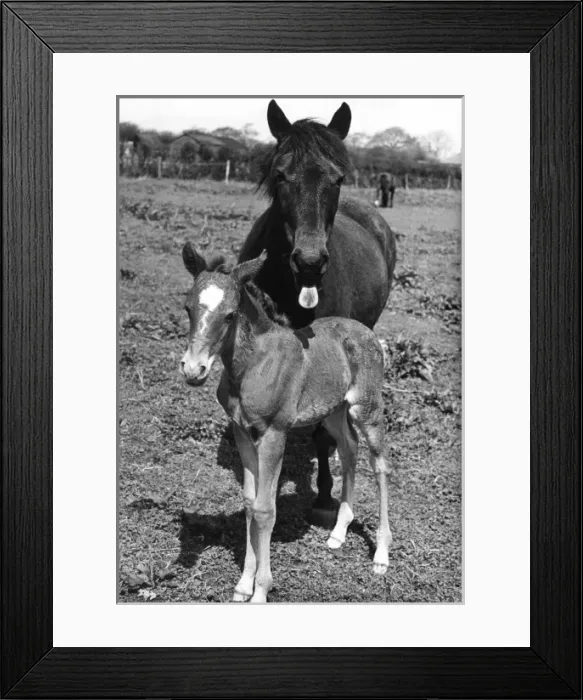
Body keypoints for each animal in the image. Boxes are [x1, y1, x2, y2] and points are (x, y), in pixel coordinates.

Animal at [180, 243, 392, 603]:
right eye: (188, 308)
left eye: (230, 314)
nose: (193, 369)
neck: (252, 365)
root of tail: (367, 333)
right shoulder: (242, 433)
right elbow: (250, 504)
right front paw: (243, 584)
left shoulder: (274, 434)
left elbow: (266, 509)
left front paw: (261, 590)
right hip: (333, 411)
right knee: (349, 449)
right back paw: (339, 531)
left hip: (367, 409)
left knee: (379, 465)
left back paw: (381, 555)